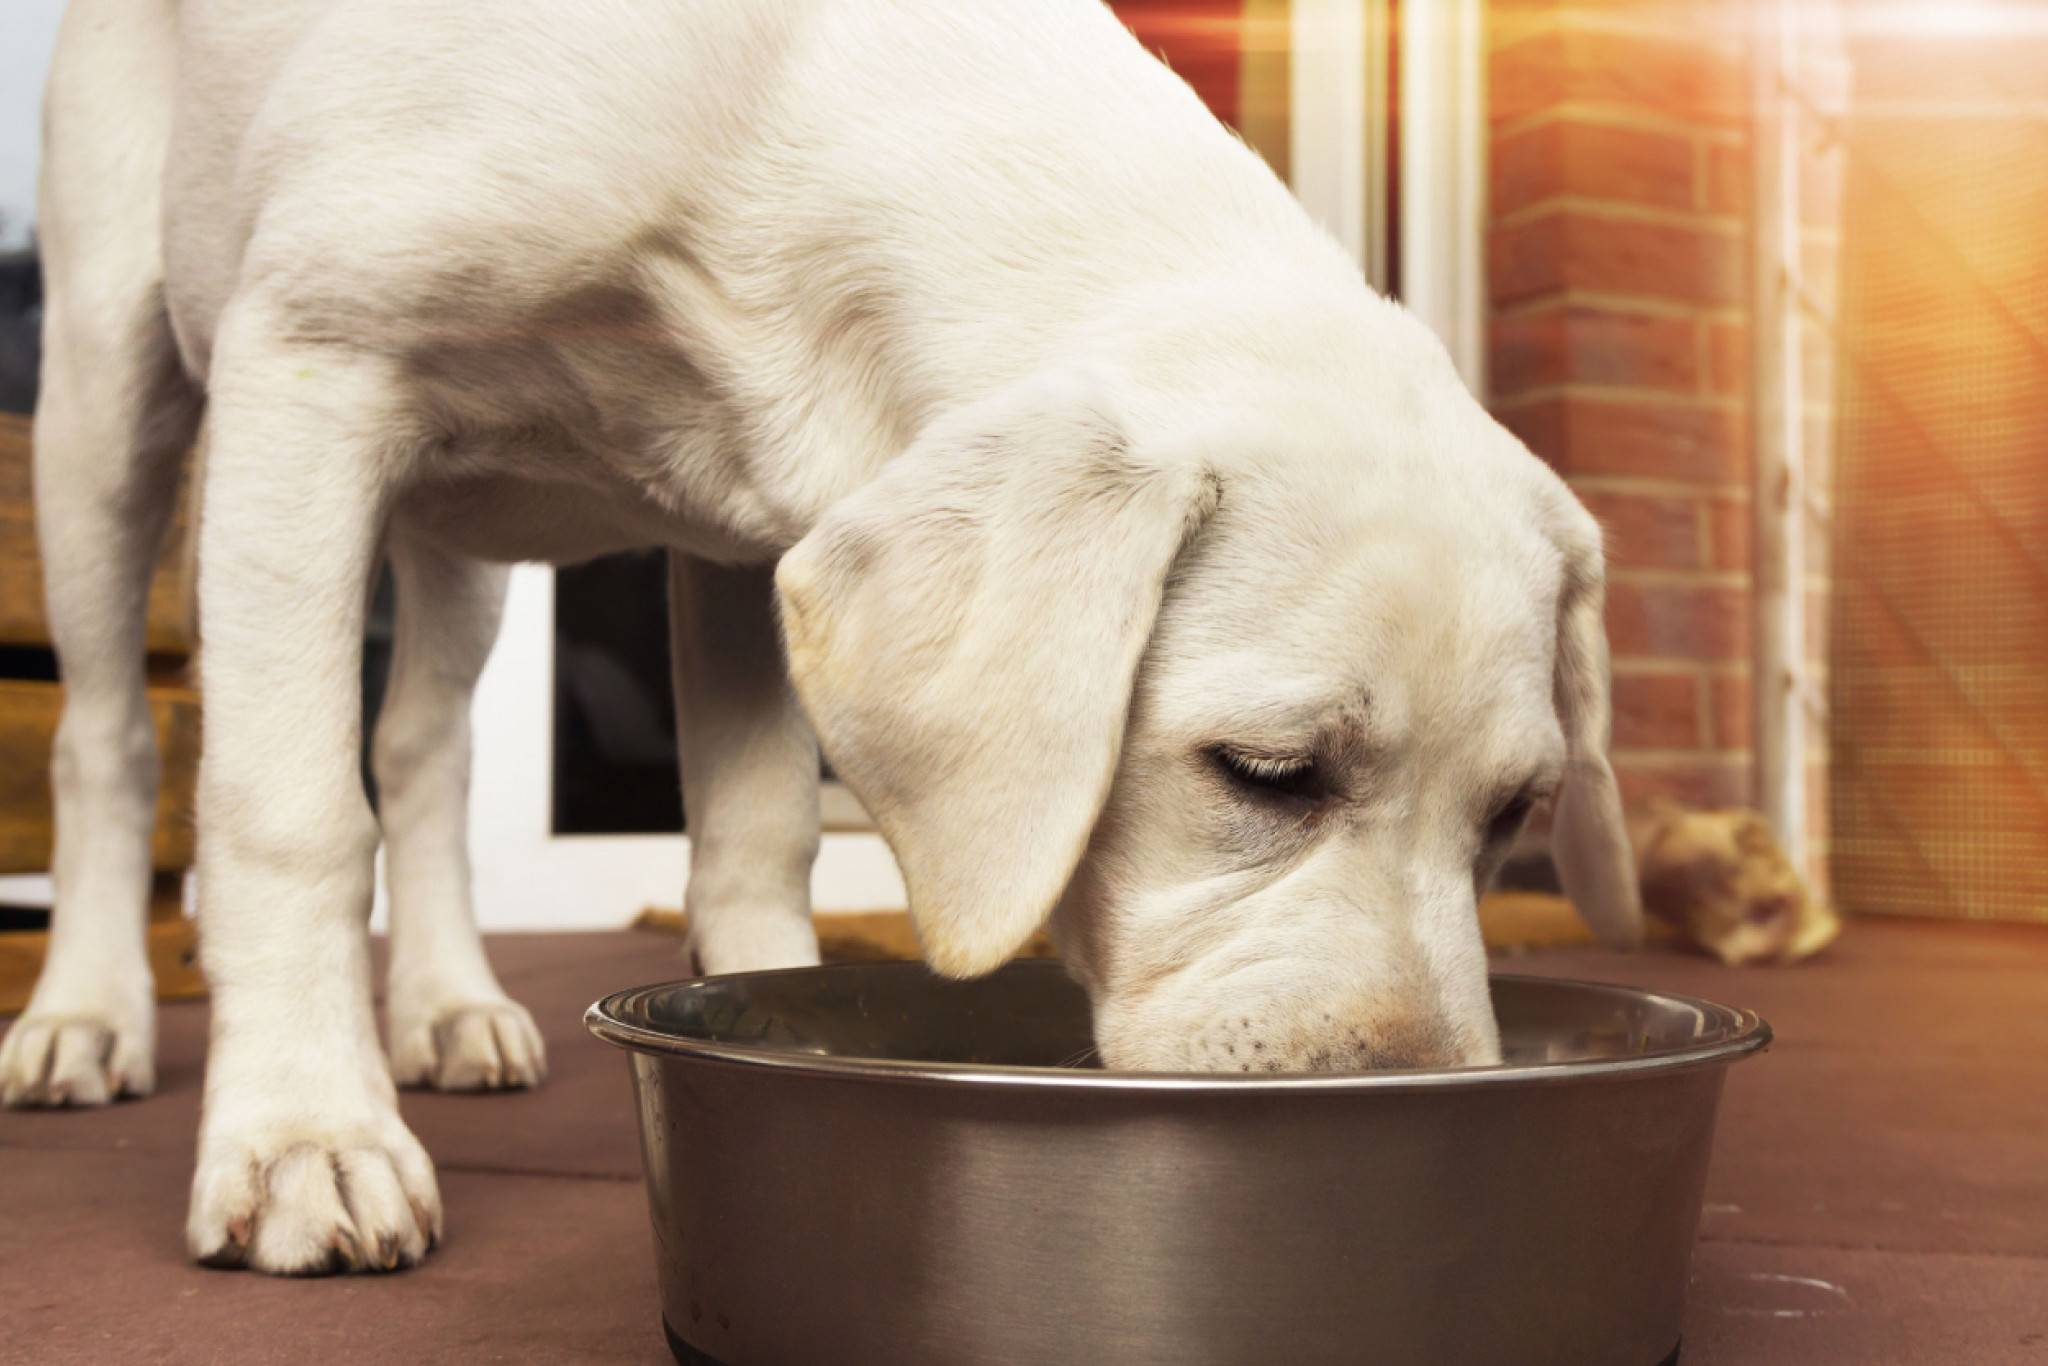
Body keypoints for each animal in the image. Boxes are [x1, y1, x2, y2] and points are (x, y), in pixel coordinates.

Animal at [0, 0, 1630, 1277]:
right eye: (1267, 772)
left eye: (1514, 816)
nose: (1418, 1115)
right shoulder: (311, 360)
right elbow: (286, 813)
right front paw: (303, 1135)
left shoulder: (743, 537)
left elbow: (753, 834)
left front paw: (760, 1005)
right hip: (110, 393)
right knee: (108, 737)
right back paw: (86, 1015)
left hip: (450, 538)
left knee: (421, 751)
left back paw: (451, 1006)